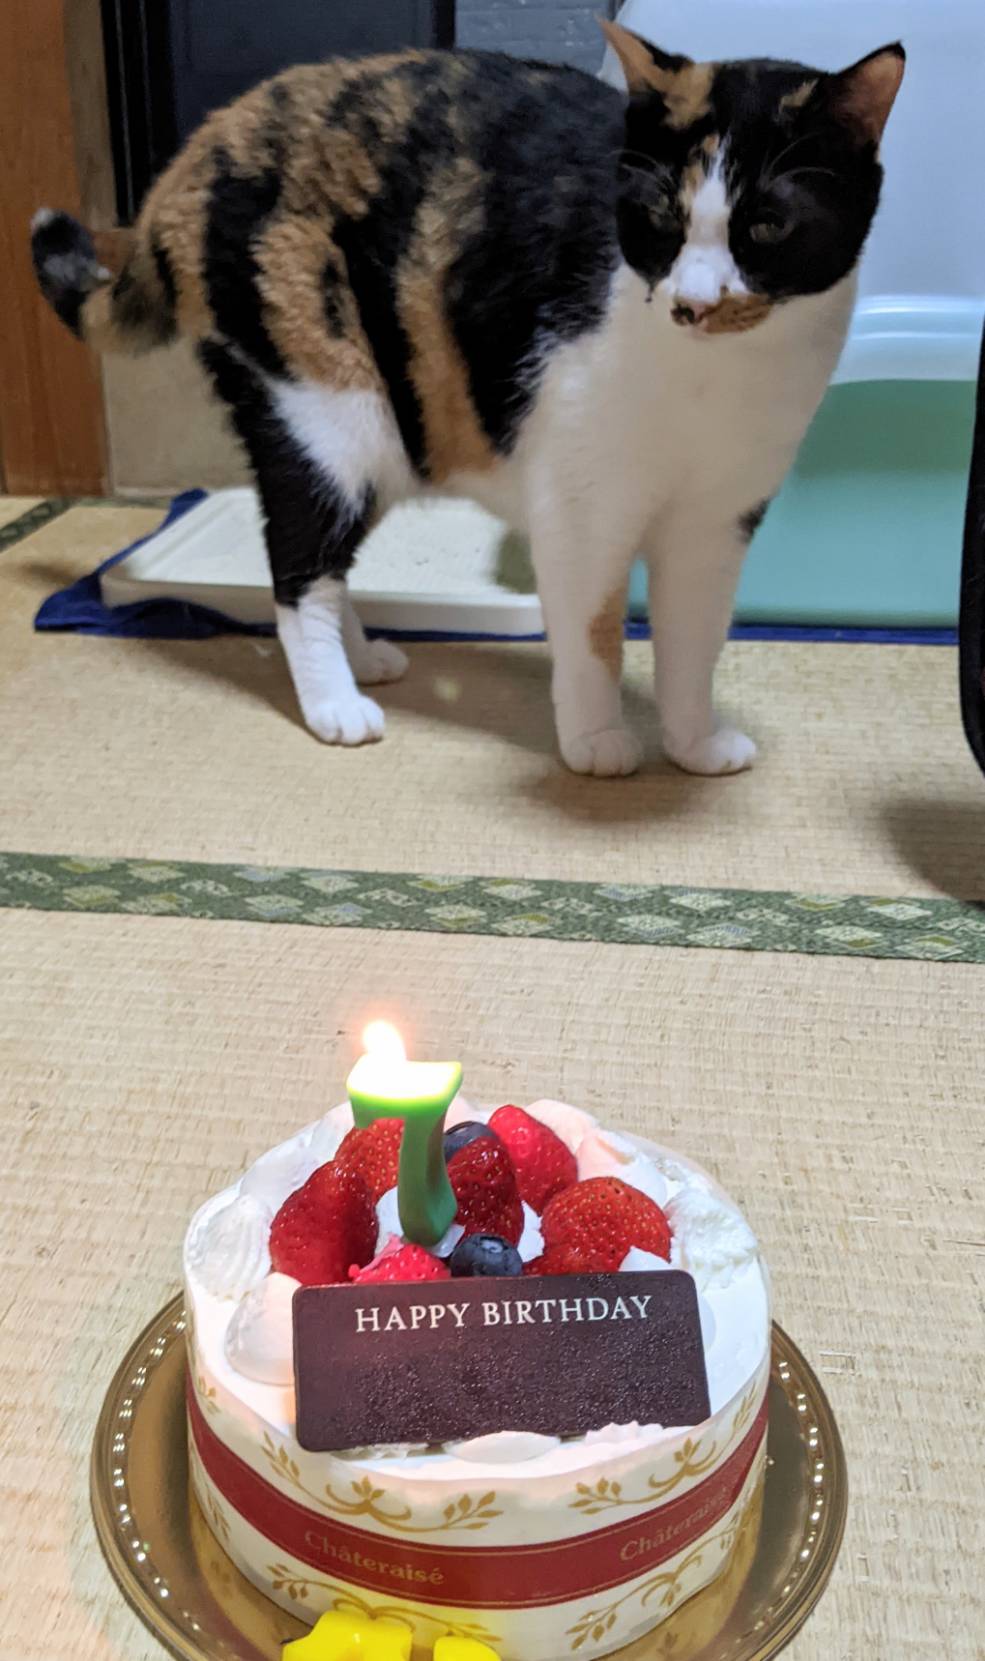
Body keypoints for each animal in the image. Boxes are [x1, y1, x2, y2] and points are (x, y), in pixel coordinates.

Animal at [32, 21, 903, 776]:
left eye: (766, 226)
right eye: (661, 214)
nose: (692, 302)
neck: (711, 380)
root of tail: (198, 153)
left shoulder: (716, 524)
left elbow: (695, 641)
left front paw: (692, 744)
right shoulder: (581, 508)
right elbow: (592, 632)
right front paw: (596, 741)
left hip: (386, 431)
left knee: (322, 558)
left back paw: (362, 657)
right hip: (328, 406)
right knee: (296, 563)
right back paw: (333, 702)